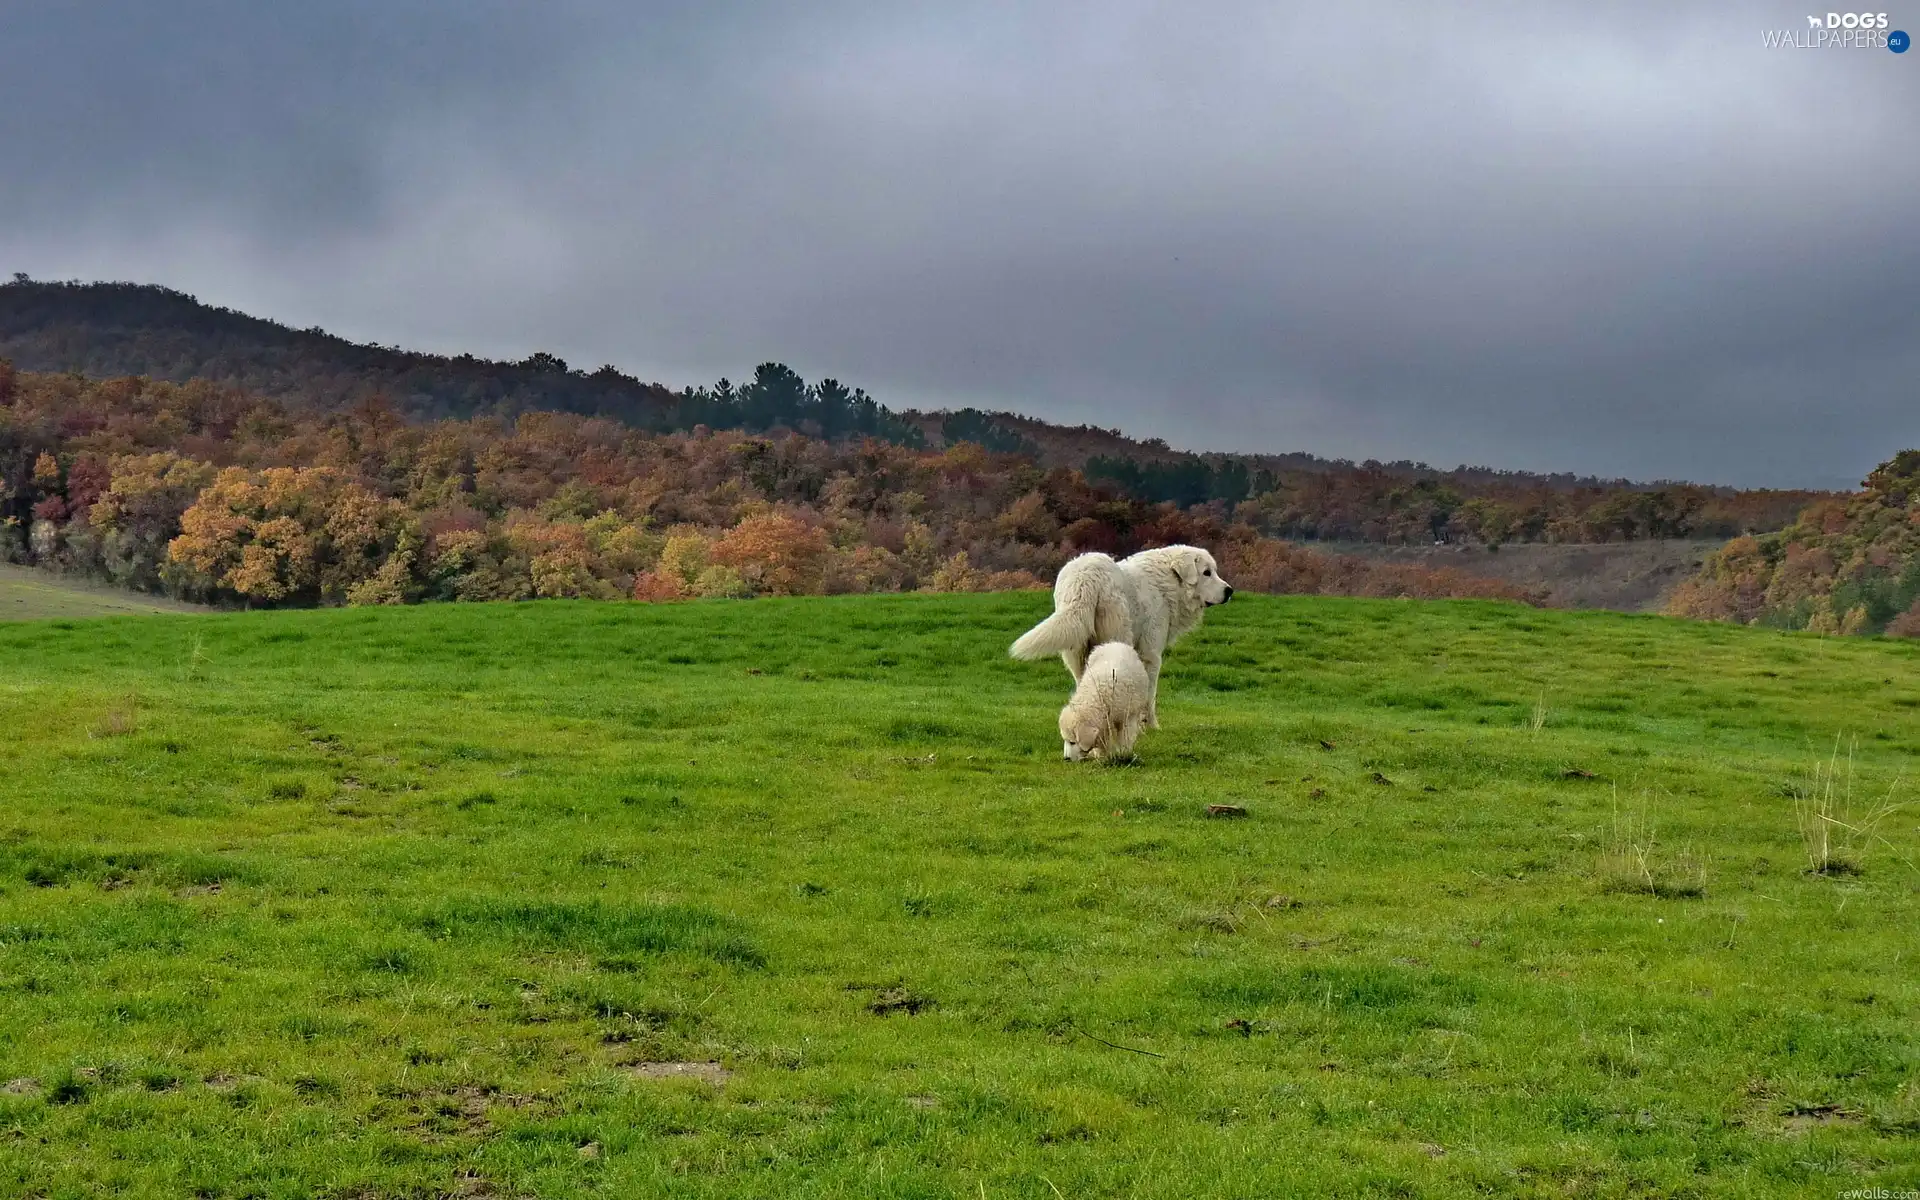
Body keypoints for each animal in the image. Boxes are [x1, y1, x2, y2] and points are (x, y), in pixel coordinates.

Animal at [1013, 549, 1236, 725]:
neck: (1167, 585)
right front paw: (1150, 725)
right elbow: (1150, 694)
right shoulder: (1151, 654)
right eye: (1207, 573)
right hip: (1117, 636)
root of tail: (1085, 579)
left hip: (1076, 650)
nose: (1230, 591)